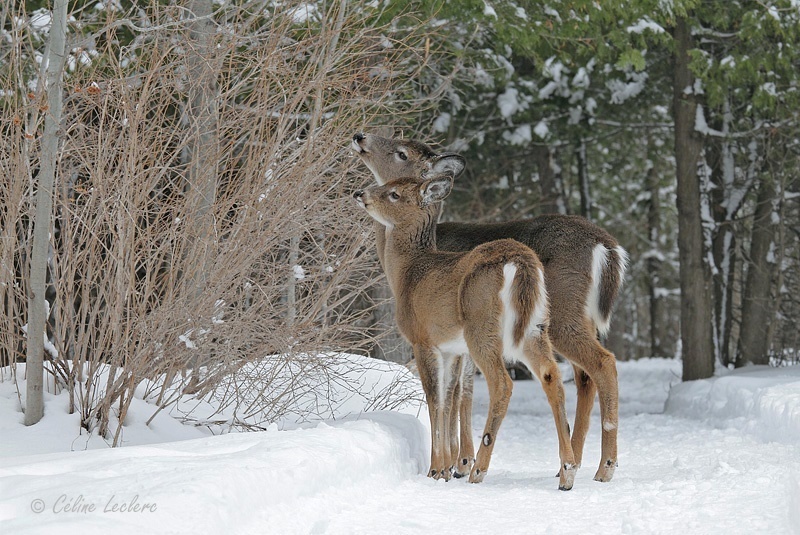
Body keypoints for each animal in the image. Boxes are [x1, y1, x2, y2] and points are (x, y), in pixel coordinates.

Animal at [354, 132, 628, 484]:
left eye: (401, 152)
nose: (360, 136)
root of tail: (608, 247)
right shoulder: (454, 345)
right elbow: (458, 392)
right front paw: (455, 462)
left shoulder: (435, 340)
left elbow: (450, 395)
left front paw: (451, 465)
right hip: (555, 323)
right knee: (577, 376)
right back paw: (569, 466)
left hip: (554, 314)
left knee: (598, 364)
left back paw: (601, 467)